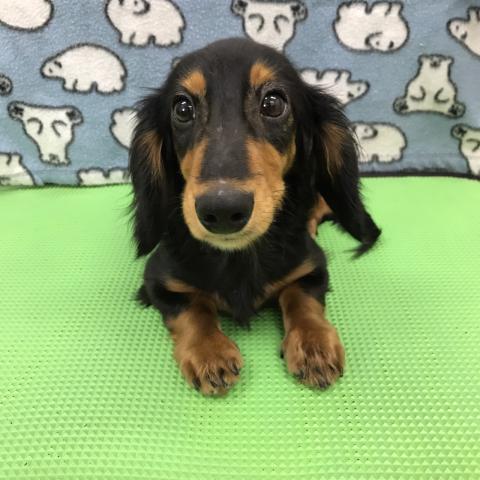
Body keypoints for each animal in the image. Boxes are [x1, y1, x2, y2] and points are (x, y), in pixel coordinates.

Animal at [129, 38, 380, 395]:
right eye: (182, 108)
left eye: (273, 103)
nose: (221, 210)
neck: (239, 254)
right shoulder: (159, 280)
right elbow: (193, 308)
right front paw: (210, 352)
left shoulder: (312, 267)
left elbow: (301, 298)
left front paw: (313, 346)